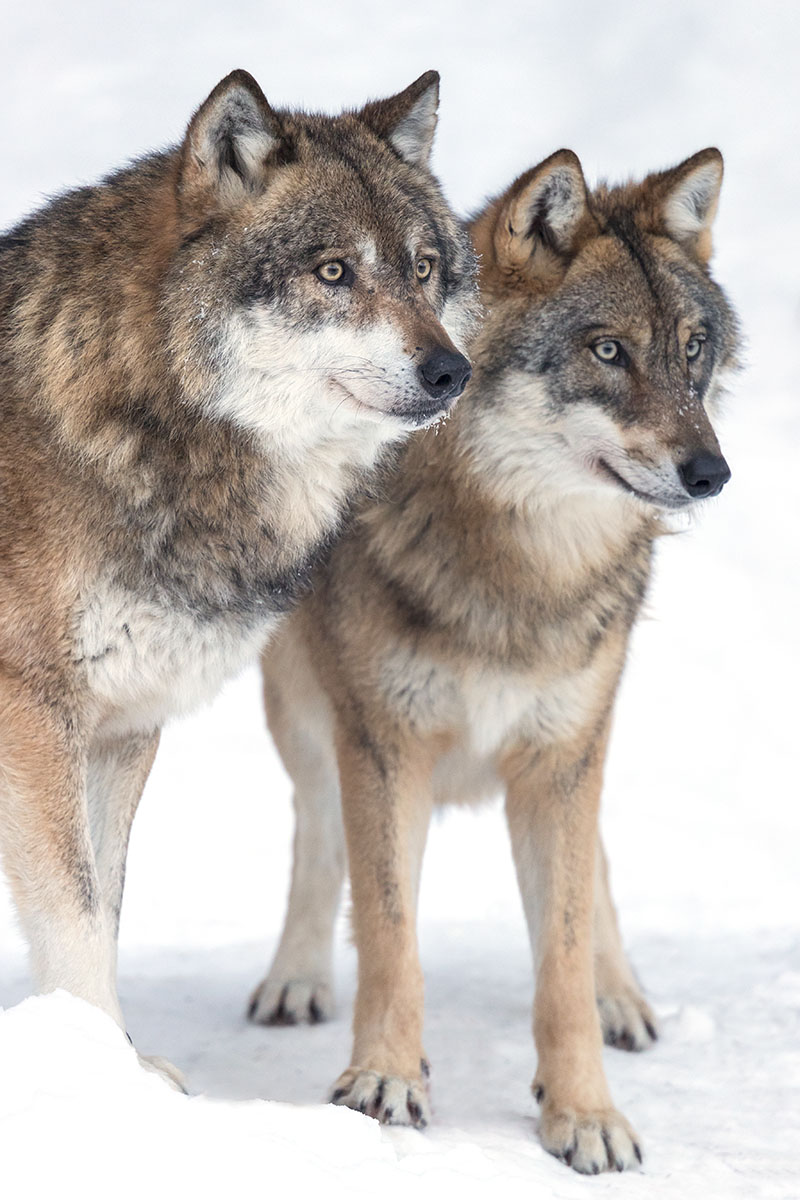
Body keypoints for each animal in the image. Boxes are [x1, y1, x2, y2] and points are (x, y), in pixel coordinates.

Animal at [0, 65, 474, 1084]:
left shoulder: (122, 728)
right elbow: (74, 910)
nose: (451, 371)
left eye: (422, 268)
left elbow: (107, 908)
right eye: (332, 272)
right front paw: (101, 1084)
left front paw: (119, 1073)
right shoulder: (35, 716)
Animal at [253, 145, 743, 1166]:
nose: (712, 473)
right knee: (317, 836)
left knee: (595, 870)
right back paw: (297, 980)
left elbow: (561, 951)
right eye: (608, 350)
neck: (523, 572)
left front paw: (585, 1113)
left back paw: (623, 996)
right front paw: (386, 1080)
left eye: (691, 350)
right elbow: (389, 934)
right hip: (306, 717)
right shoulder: (384, 745)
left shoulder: (562, 755)